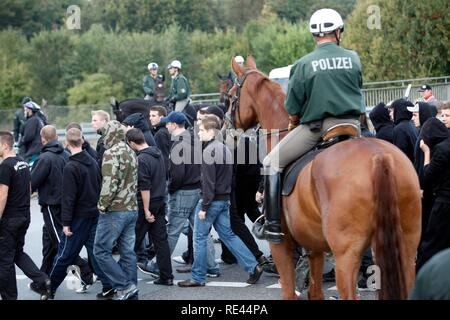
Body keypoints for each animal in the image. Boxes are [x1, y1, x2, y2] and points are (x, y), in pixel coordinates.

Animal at [229, 56, 422, 298]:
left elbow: (289, 291)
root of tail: (380, 157)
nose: (227, 125)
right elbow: (315, 290)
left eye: (231, 95)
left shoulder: (282, 246)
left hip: (346, 256)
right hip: (404, 250)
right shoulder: (314, 247)